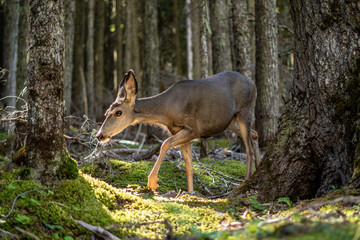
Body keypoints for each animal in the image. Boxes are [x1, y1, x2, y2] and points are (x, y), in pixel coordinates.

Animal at [95, 69, 258, 191]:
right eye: (106, 112)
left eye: (118, 112)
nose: (99, 135)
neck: (167, 110)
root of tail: (253, 83)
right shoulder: (179, 130)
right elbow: (188, 164)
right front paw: (190, 192)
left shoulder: (193, 128)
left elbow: (165, 144)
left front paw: (152, 182)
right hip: (229, 121)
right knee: (255, 134)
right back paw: (256, 168)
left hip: (245, 111)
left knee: (248, 148)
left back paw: (246, 181)